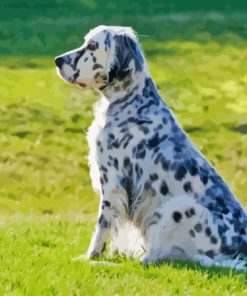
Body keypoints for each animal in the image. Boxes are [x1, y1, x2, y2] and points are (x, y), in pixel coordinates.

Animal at [56, 25, 247, 270]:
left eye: (91, 46)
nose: (57, 60)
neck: (131, 102)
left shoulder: (113, 183)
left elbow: (102, 226)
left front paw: (91, 257)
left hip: (181, 208)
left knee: (149, 260)